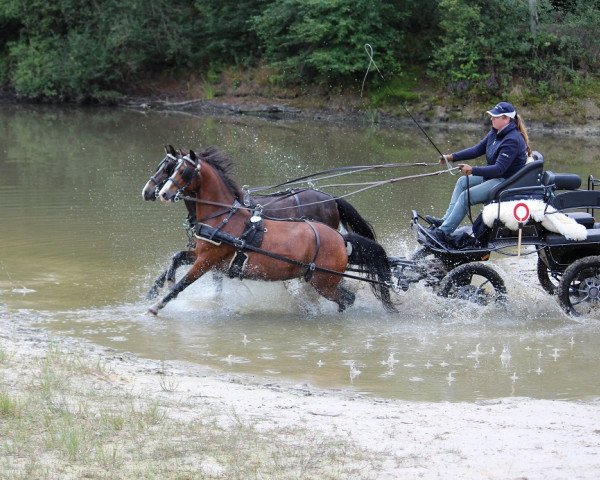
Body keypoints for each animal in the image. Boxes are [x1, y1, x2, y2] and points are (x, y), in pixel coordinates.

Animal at [148, 149, 396, 316]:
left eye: (181, 170)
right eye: (170, 168)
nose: (158, 193)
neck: (223, 216)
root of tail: (341, 239)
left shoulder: (207, 260)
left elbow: (184, 283)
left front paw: (156, 305)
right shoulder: (203, 256)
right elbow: (176, 259)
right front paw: (160, 286)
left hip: (323, 281)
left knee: (347, 299)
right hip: (320, 278)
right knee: (344, 298)